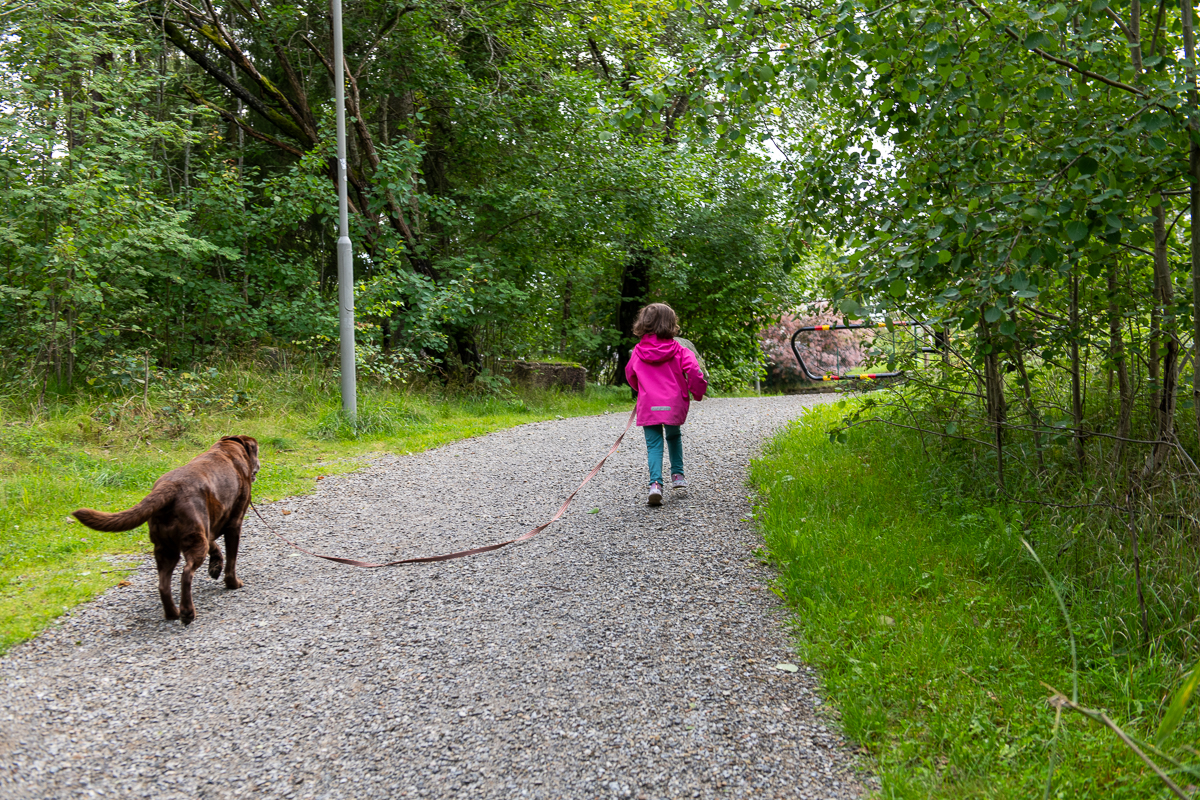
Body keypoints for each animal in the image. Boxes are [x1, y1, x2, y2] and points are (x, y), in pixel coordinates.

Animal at [74, 438, 260, 623]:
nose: (258, 464)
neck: (228, 449)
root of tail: (170, 487)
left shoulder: (207, 528)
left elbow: (215, 546)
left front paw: (215, 567)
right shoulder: (234, 524)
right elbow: (231, 560)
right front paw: (233, 583)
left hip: (167, 547)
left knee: (163, 585)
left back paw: (172, 613)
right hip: (192, 542)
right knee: (186, 573)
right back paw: (187, 613)